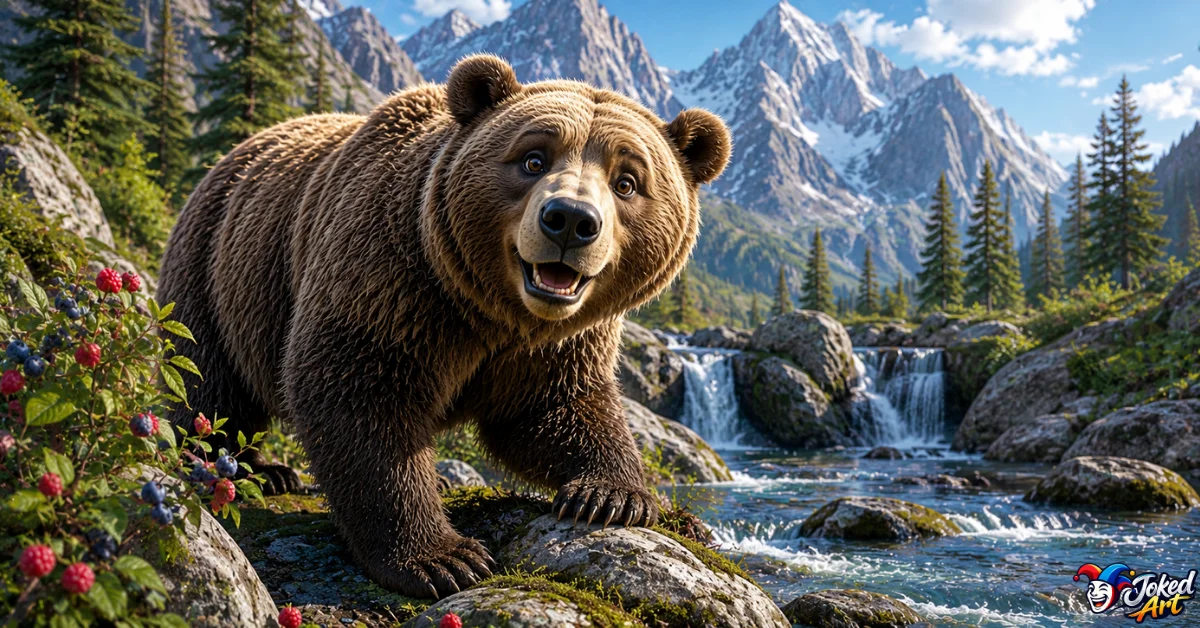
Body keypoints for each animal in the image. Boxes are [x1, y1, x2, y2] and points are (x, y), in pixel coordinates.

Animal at [156, 54, 731, 599]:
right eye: (533, 158)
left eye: (627, 181)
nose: (569, 219)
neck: (492, 311)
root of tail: (234, 151)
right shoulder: (393, 284)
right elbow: (359, 397)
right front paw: (443, 558)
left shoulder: (551, 346)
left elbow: (554, 411)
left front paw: (616, 497)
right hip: (217, 269)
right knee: (208, 383)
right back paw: (233, 465)